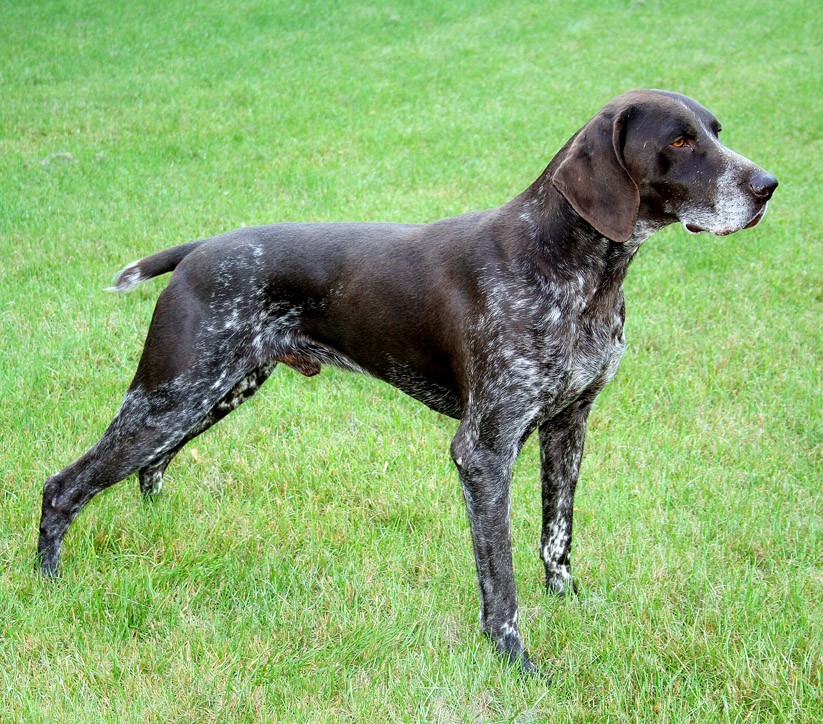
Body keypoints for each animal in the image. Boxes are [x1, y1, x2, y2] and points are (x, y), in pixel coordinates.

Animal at [38, 92, 776, 680]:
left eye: (715, 129)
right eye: (678, 141)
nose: (768, 184)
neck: (573, 265)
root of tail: (199, 250)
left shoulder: (569, 425)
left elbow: (556, 537)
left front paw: (570, 604)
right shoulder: (484, 451)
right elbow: (500, 581)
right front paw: (516, 661)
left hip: (214, 391)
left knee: (150, 468)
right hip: (172, 394)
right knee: (65, 485)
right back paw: (48, 585)